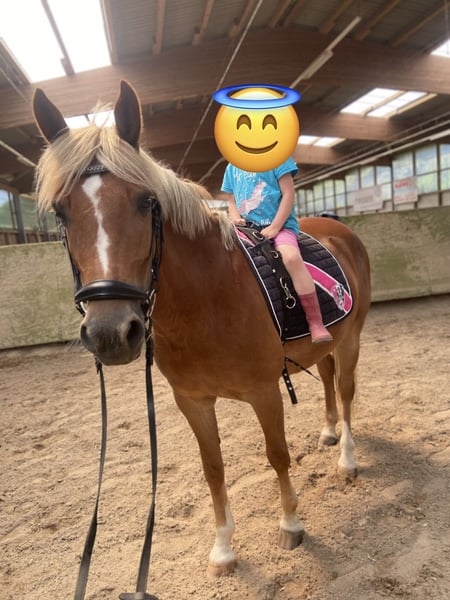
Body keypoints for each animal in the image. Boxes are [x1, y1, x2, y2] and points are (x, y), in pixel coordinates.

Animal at [32, 80, 371, 577]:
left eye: (146, 203)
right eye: (61, 212)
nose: (110, 332)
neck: (208, 299)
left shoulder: (264, 391)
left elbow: (277, 453)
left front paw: (290, 524)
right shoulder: (191, 400)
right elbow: (212, 467)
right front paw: (224, 549)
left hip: (351, 339)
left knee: (345, 390)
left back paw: (346, 457)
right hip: (325, 343)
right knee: (327, 378)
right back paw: (329, 432)